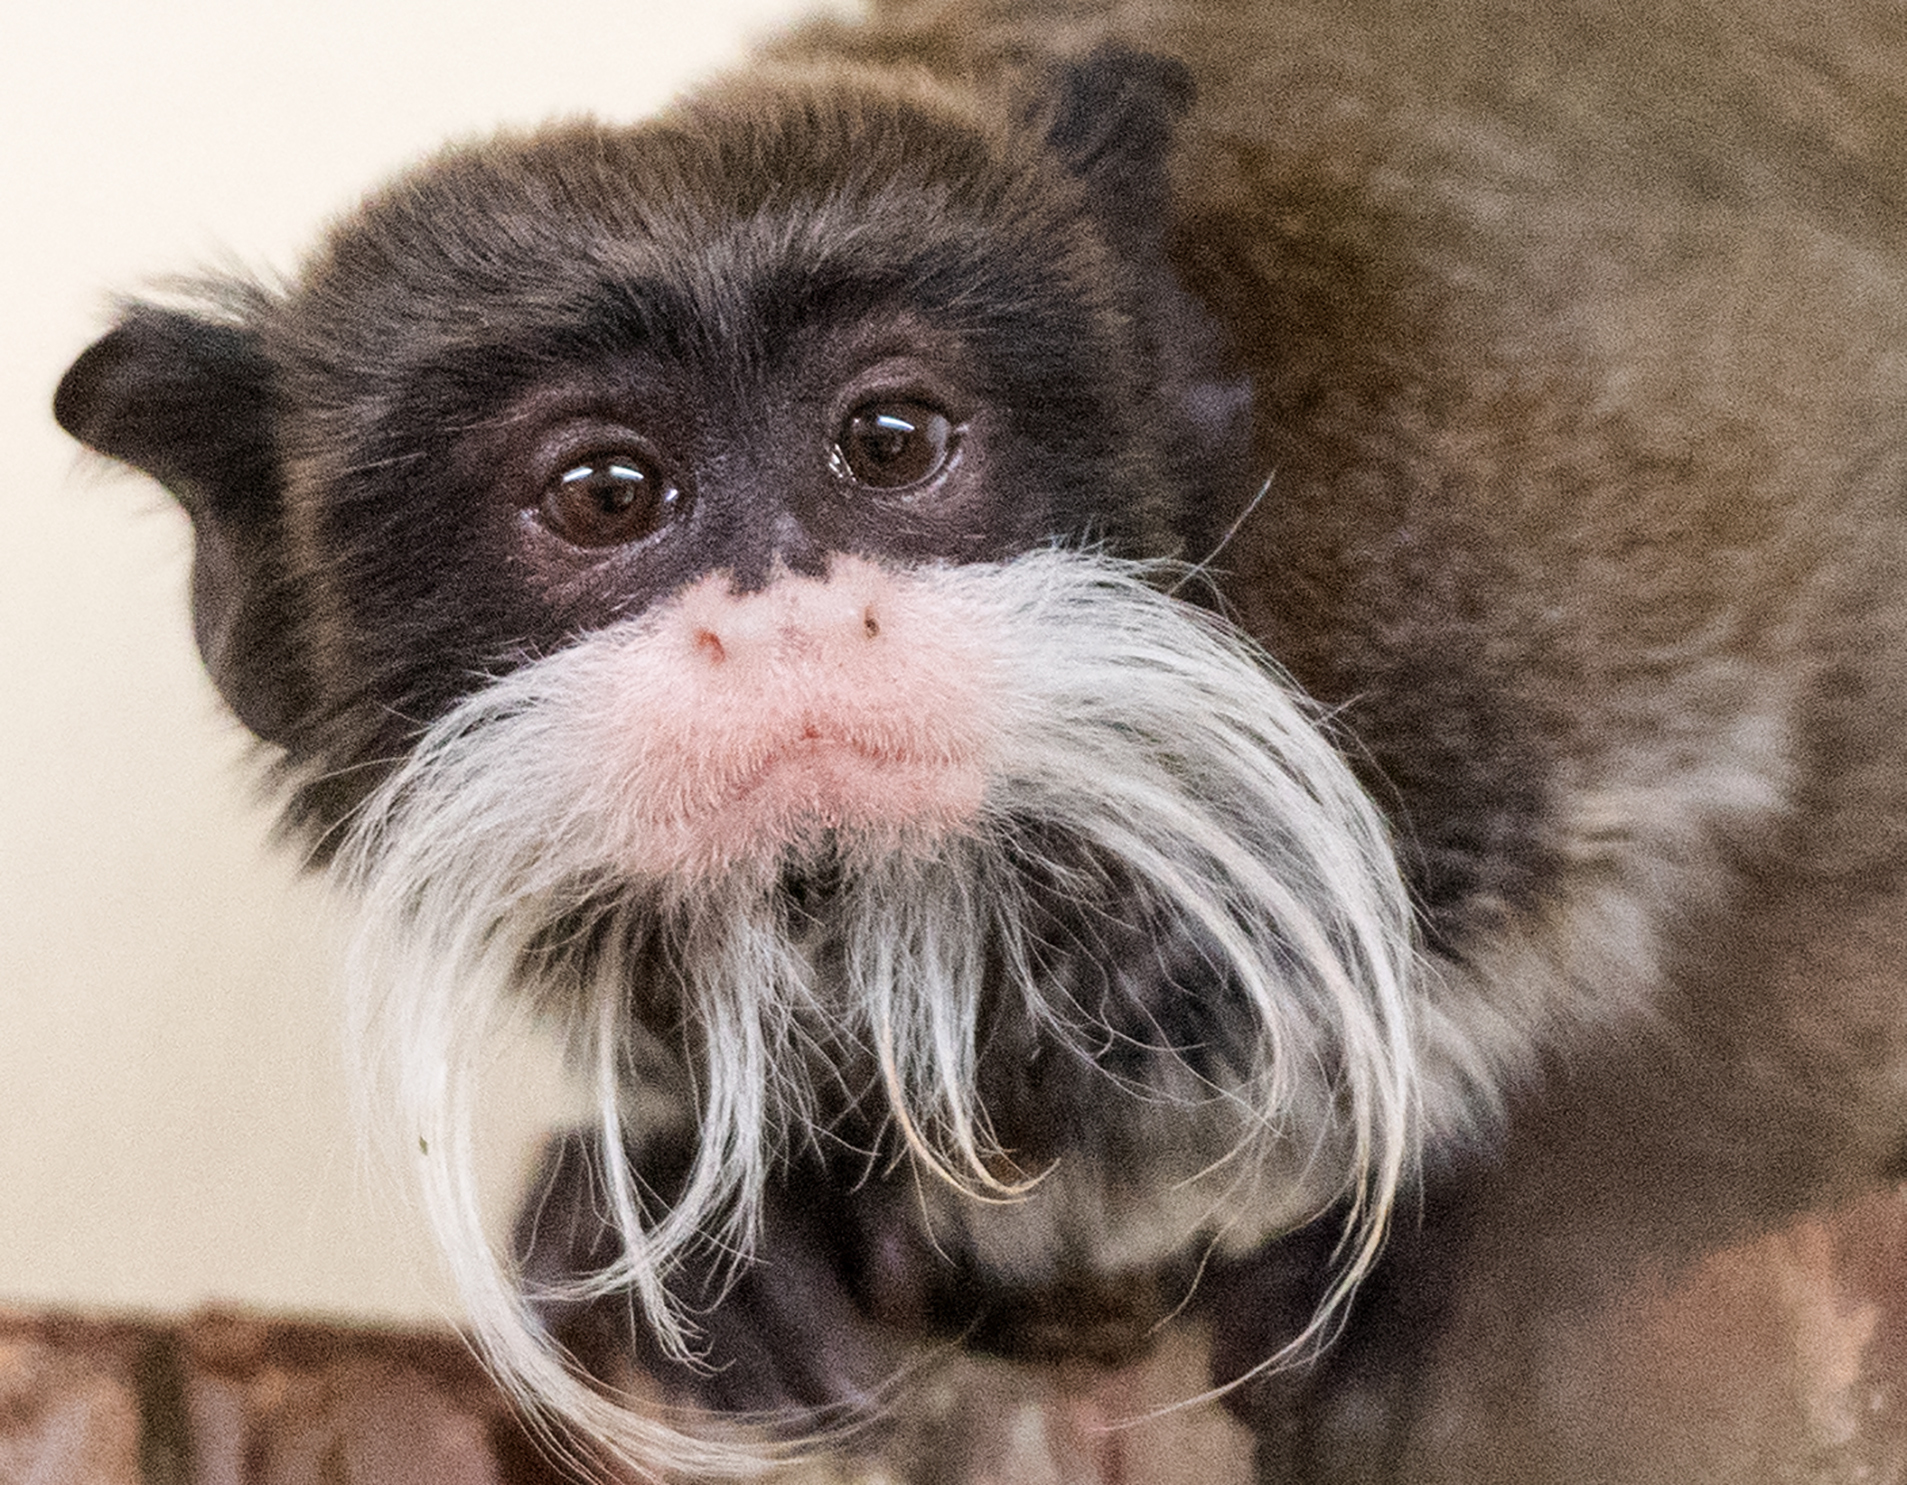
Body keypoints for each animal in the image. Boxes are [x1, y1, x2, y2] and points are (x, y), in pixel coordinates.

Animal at [48, 0, 1907, 1479]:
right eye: (605, 492)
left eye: (888, 440)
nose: (791, 624)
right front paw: (714, 1234)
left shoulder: (1504, 501)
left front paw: (1507, 1229)